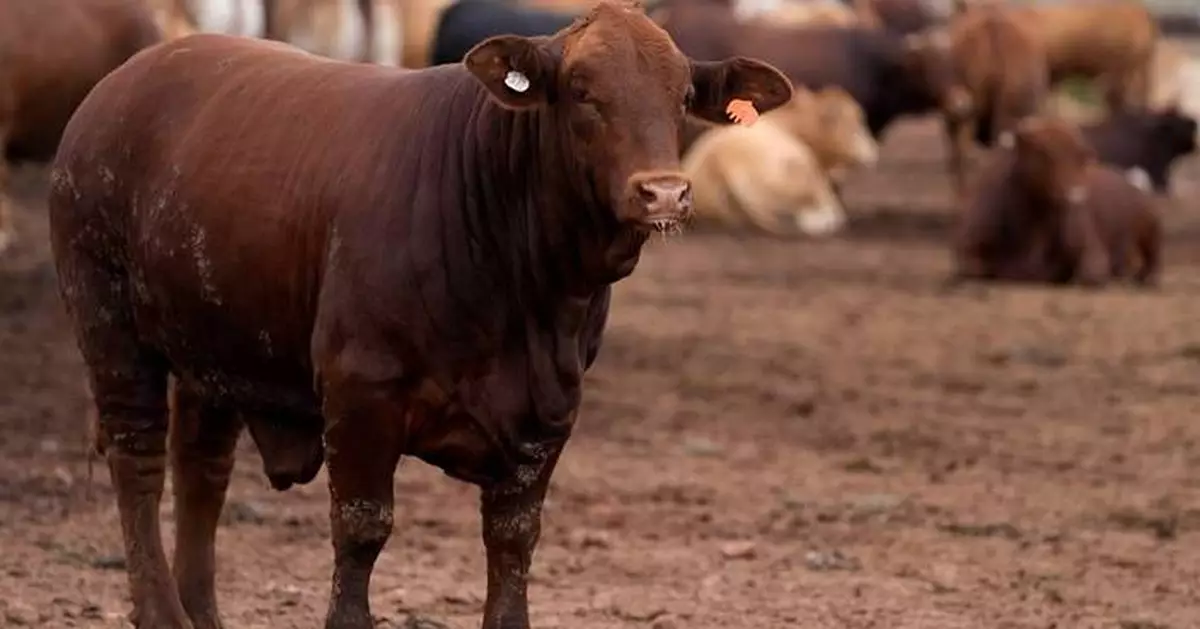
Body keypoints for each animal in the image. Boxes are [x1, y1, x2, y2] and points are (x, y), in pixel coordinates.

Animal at [47, 2, 792, 628]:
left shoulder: (550, 413)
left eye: (683, 96)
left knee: (201, 469)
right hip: (109, 323)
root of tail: (125, 79)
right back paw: (161, 611)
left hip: (212, 343)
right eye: (582, 89)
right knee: (139, 462)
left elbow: (513, 544)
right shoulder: (360, 392)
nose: (663, 192)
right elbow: (362, 527)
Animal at [953, 115, 1161, 287]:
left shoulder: (1092, 253)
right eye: (1045, 153)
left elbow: (1089, 274)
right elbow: (976, 268)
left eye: (1082, 156)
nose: (1076, 194)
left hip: (1150, 225)